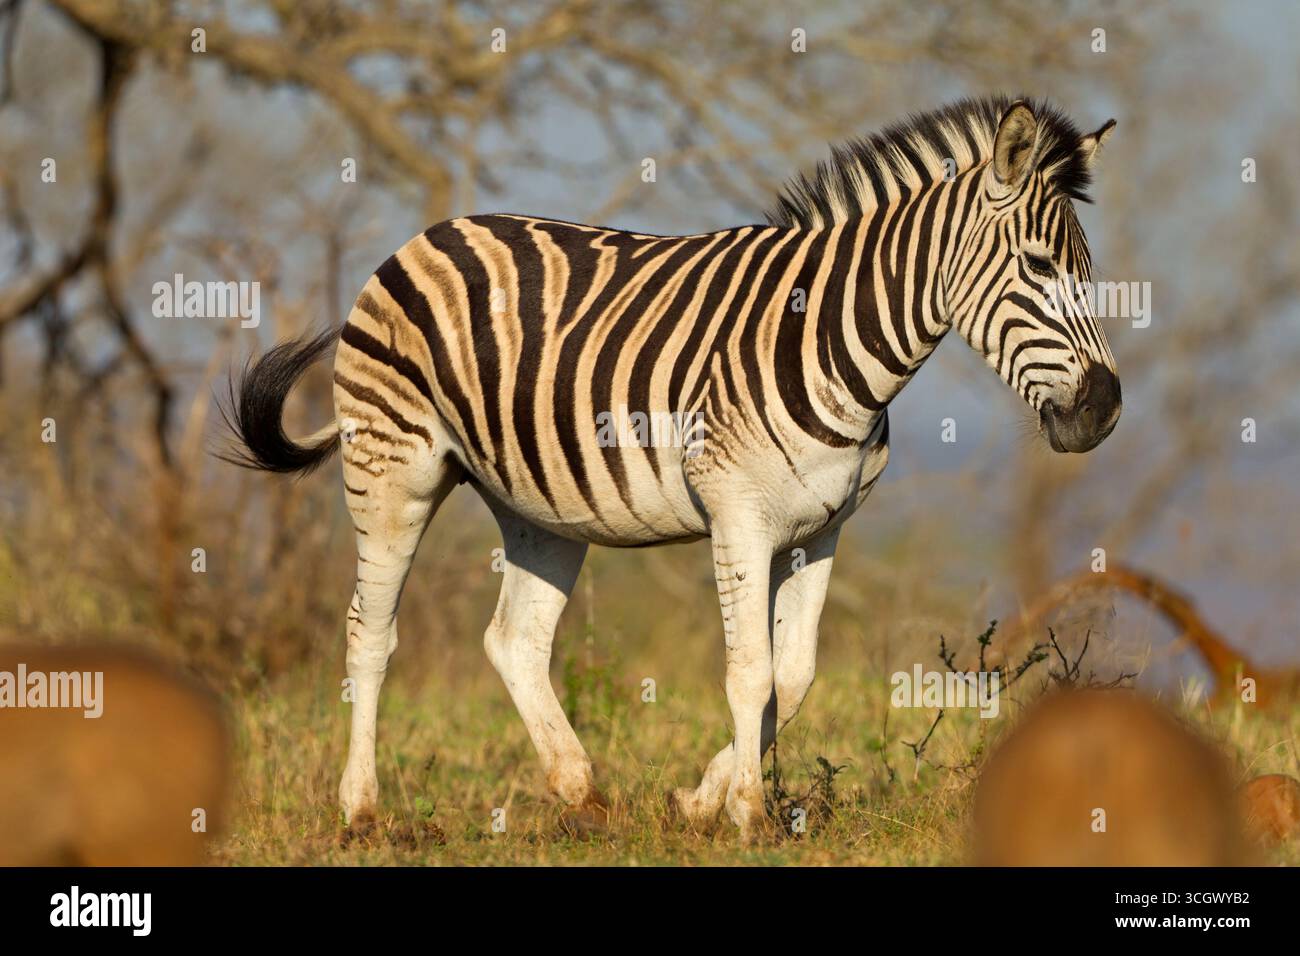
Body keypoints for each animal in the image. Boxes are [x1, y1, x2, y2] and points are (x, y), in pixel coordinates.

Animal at [224, 95, 1121, 841]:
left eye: (1090, 273)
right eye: (1040, 267)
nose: (1105, 410)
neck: (836, 343)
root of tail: (429, 234)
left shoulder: (824, 529)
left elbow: (794, 677)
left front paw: (699, 801)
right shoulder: (738, 516)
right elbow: (750, 672)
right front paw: (750, 816)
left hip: (540, 508)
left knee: (515, 640)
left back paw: (583, 795)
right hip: (392, 470)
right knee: (368, 635)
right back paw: (362, 811)